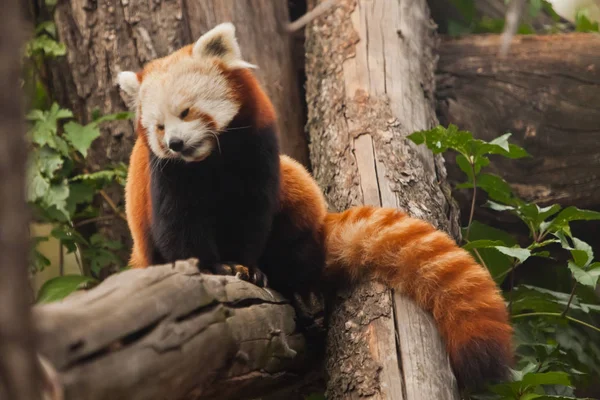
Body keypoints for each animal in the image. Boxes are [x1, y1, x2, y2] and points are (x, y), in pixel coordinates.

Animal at [119, 21, 512, 390]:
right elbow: (180, 230)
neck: (211, 161)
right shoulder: (167, 177)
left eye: (186, 112)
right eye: (158, 127)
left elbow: (252, 218)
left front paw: (246, 265)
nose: (175, 143)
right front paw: (216, 268)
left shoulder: (257, 152)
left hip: (296, 196)